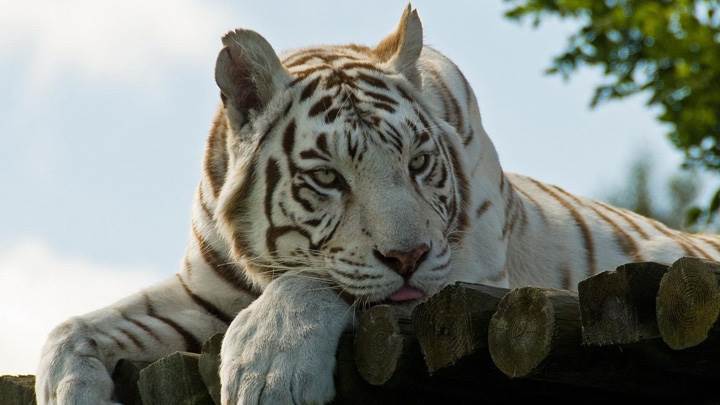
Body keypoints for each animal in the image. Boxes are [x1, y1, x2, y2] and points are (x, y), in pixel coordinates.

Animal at [35, 5, 720, 405]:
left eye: (417, 163)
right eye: (328, 178)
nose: (408, 256)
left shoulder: (463, 275)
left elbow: (320, 283)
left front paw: (268, 370)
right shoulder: (201, 292)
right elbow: (71, 328)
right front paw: (70, 390)